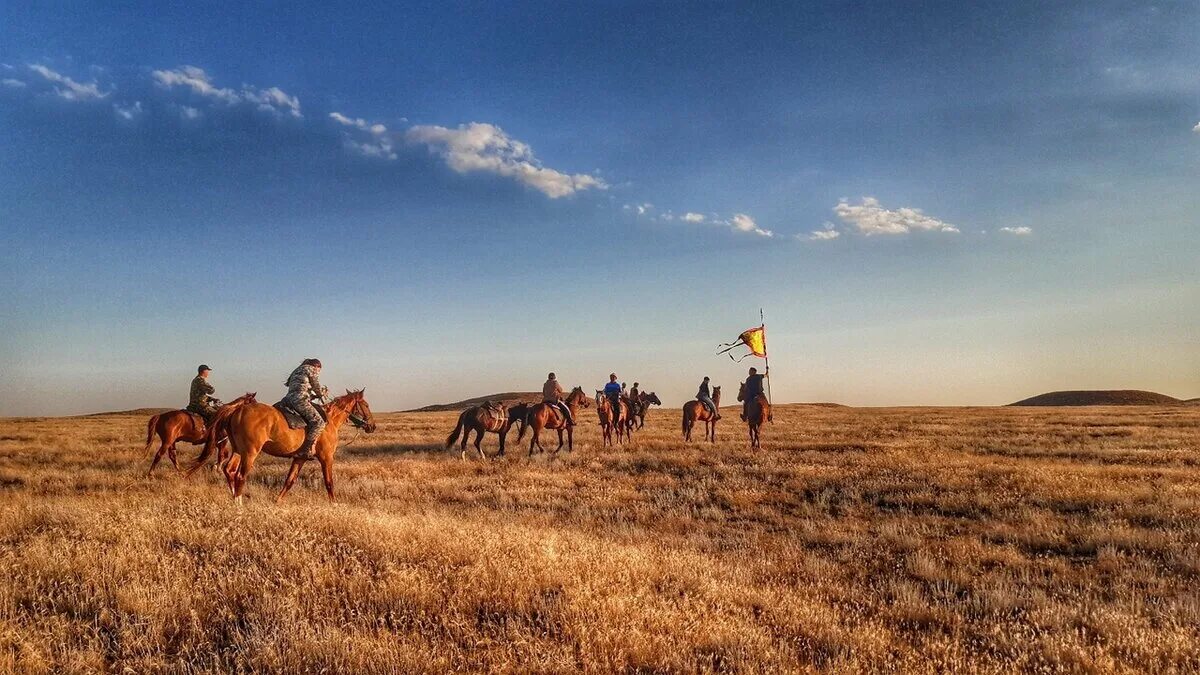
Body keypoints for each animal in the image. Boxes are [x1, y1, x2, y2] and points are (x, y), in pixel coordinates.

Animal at [207, 389, 374, 499]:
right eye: (366, 405)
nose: (372, 426)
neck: (330, 420)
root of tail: (238, 410)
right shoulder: (326, 457)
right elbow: (329, 482)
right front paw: (334, 504)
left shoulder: (300, 458)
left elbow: (289, 481)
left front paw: (277, 502)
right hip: (250, 453)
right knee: (240, 476)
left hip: (238, 450)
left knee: (229, 470)